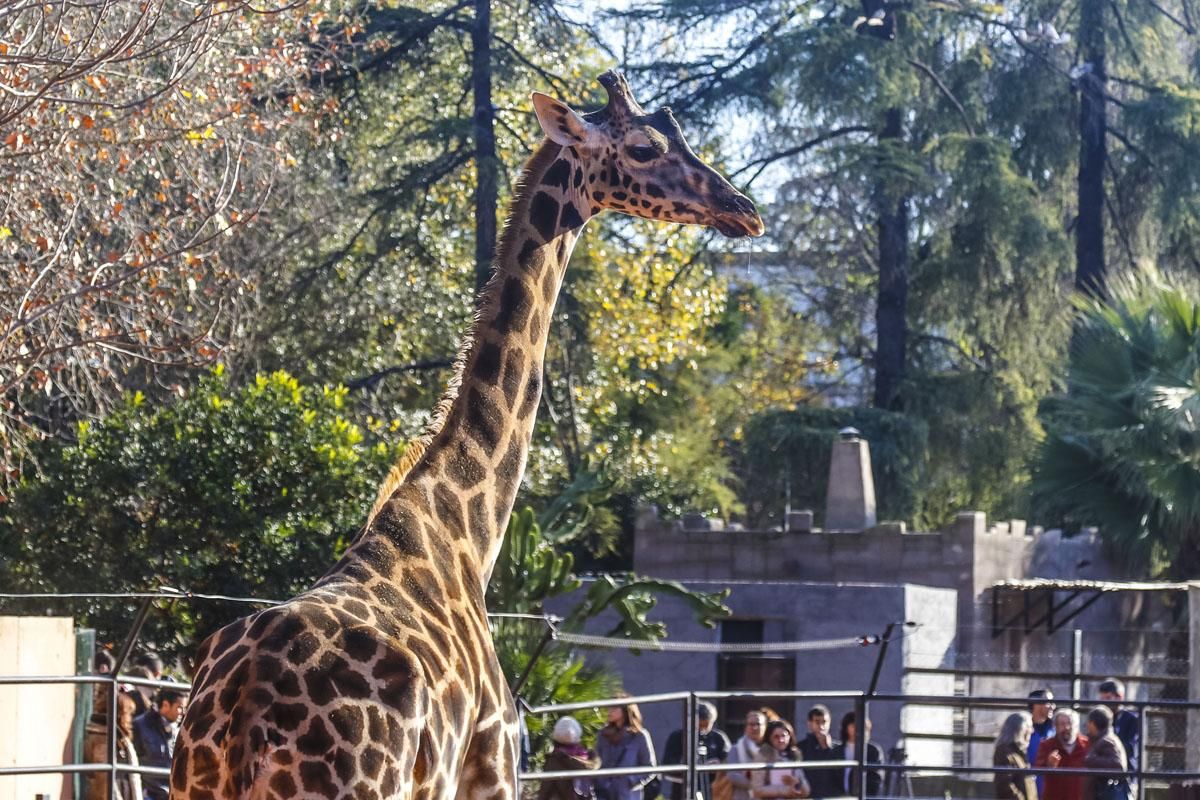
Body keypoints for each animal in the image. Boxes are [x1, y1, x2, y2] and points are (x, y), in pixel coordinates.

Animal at [169, 67, 758, 800]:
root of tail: (242, 707)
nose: (743, 208)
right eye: (646, 149)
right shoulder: (493, 769)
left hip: (194, 780)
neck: (468, 533)